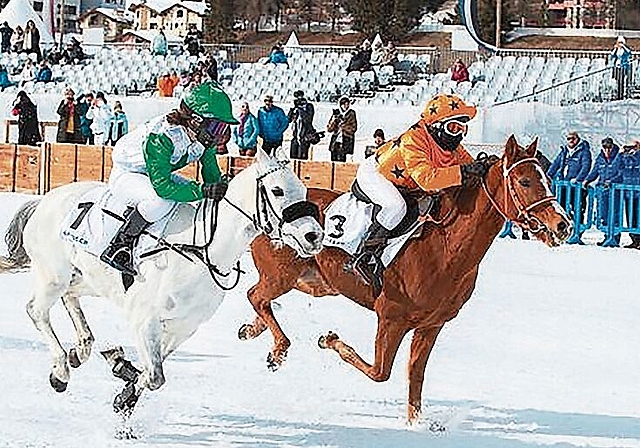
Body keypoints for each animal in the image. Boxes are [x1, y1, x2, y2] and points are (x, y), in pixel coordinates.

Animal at [0, 149, 320, 414]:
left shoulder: (183, 327)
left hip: (86, 278)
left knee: (71, 298)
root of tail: (44, 200)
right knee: (37, 310)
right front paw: (123, 375)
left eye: (303, 189)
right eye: (277, 190)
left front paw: (123, 382)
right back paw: (61, 370)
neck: (203, 249)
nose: (314, 236)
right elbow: (155, 376)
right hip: (53, 275)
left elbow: (153, 372)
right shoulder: (145, 320)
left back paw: (81, 350)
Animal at [242, 136, 572, 424]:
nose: (563, 225)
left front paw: (416, 423)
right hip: (282, 275)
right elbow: (380, 371)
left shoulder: (431, 324)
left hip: (315, 281)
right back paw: (278, 347)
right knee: (256, 295)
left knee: (263, 299)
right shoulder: (392, 317)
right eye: (525, 181)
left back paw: (254, 331)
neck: (445, 246)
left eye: (546, 178)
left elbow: (416, 374)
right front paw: (329, 339)